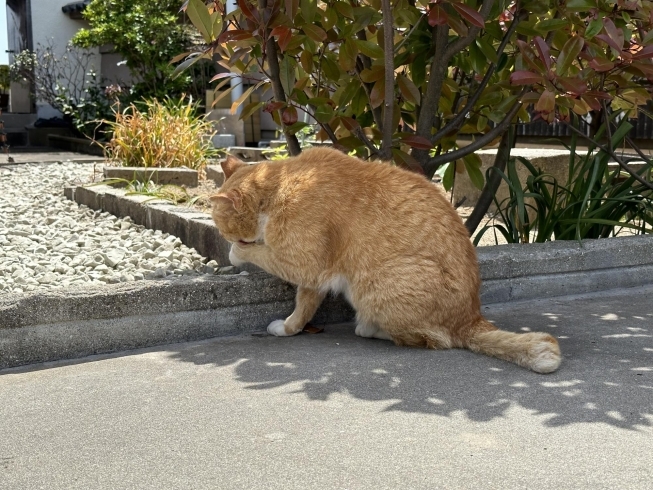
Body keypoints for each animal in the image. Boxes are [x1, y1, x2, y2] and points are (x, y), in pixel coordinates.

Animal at [209, 147, 560, 374]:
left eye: (227, 232)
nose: (225, 240)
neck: (282, 184)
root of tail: (471, 317)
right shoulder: (315, 275)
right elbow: (306, 303)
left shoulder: (304, 263)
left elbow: (268, 261)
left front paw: (238, 254)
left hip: (376, 285)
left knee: (434, 339)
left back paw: (371, 328)